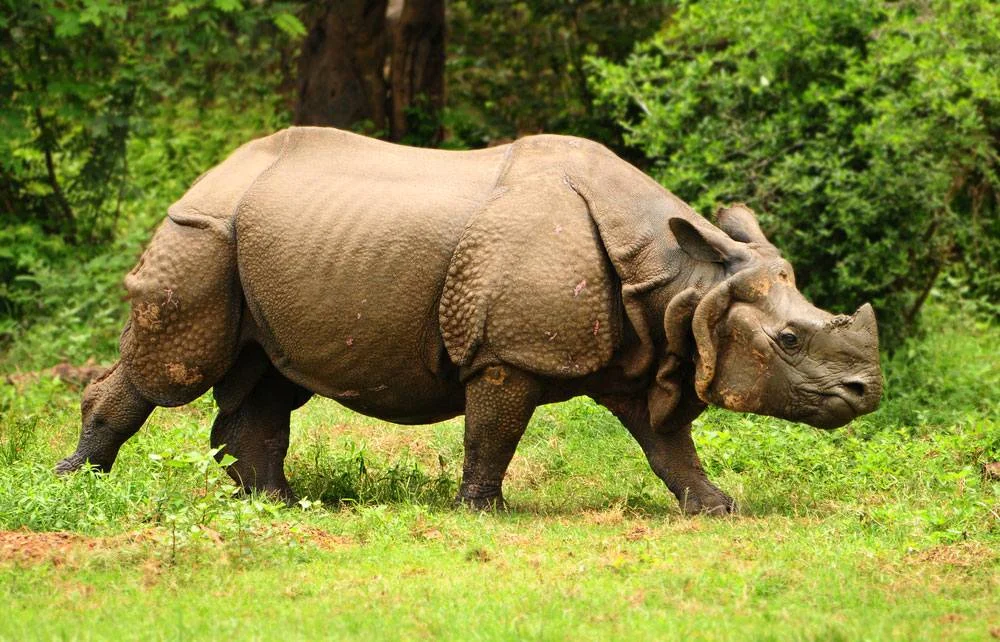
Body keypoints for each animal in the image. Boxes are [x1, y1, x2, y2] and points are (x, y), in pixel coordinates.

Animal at [57, 127, 882, 514]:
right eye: (790, 339)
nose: (868, 392)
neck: (683, 282)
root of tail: (212, 173)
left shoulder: (645, 351)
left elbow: (669, 446)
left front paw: (720, 508)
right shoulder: (507, 351)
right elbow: (494, 432)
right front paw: (483, 511)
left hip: (260, 241)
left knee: (267, 377)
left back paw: (277, 504)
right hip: (201, 232)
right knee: (172, 369)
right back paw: (78, 485)